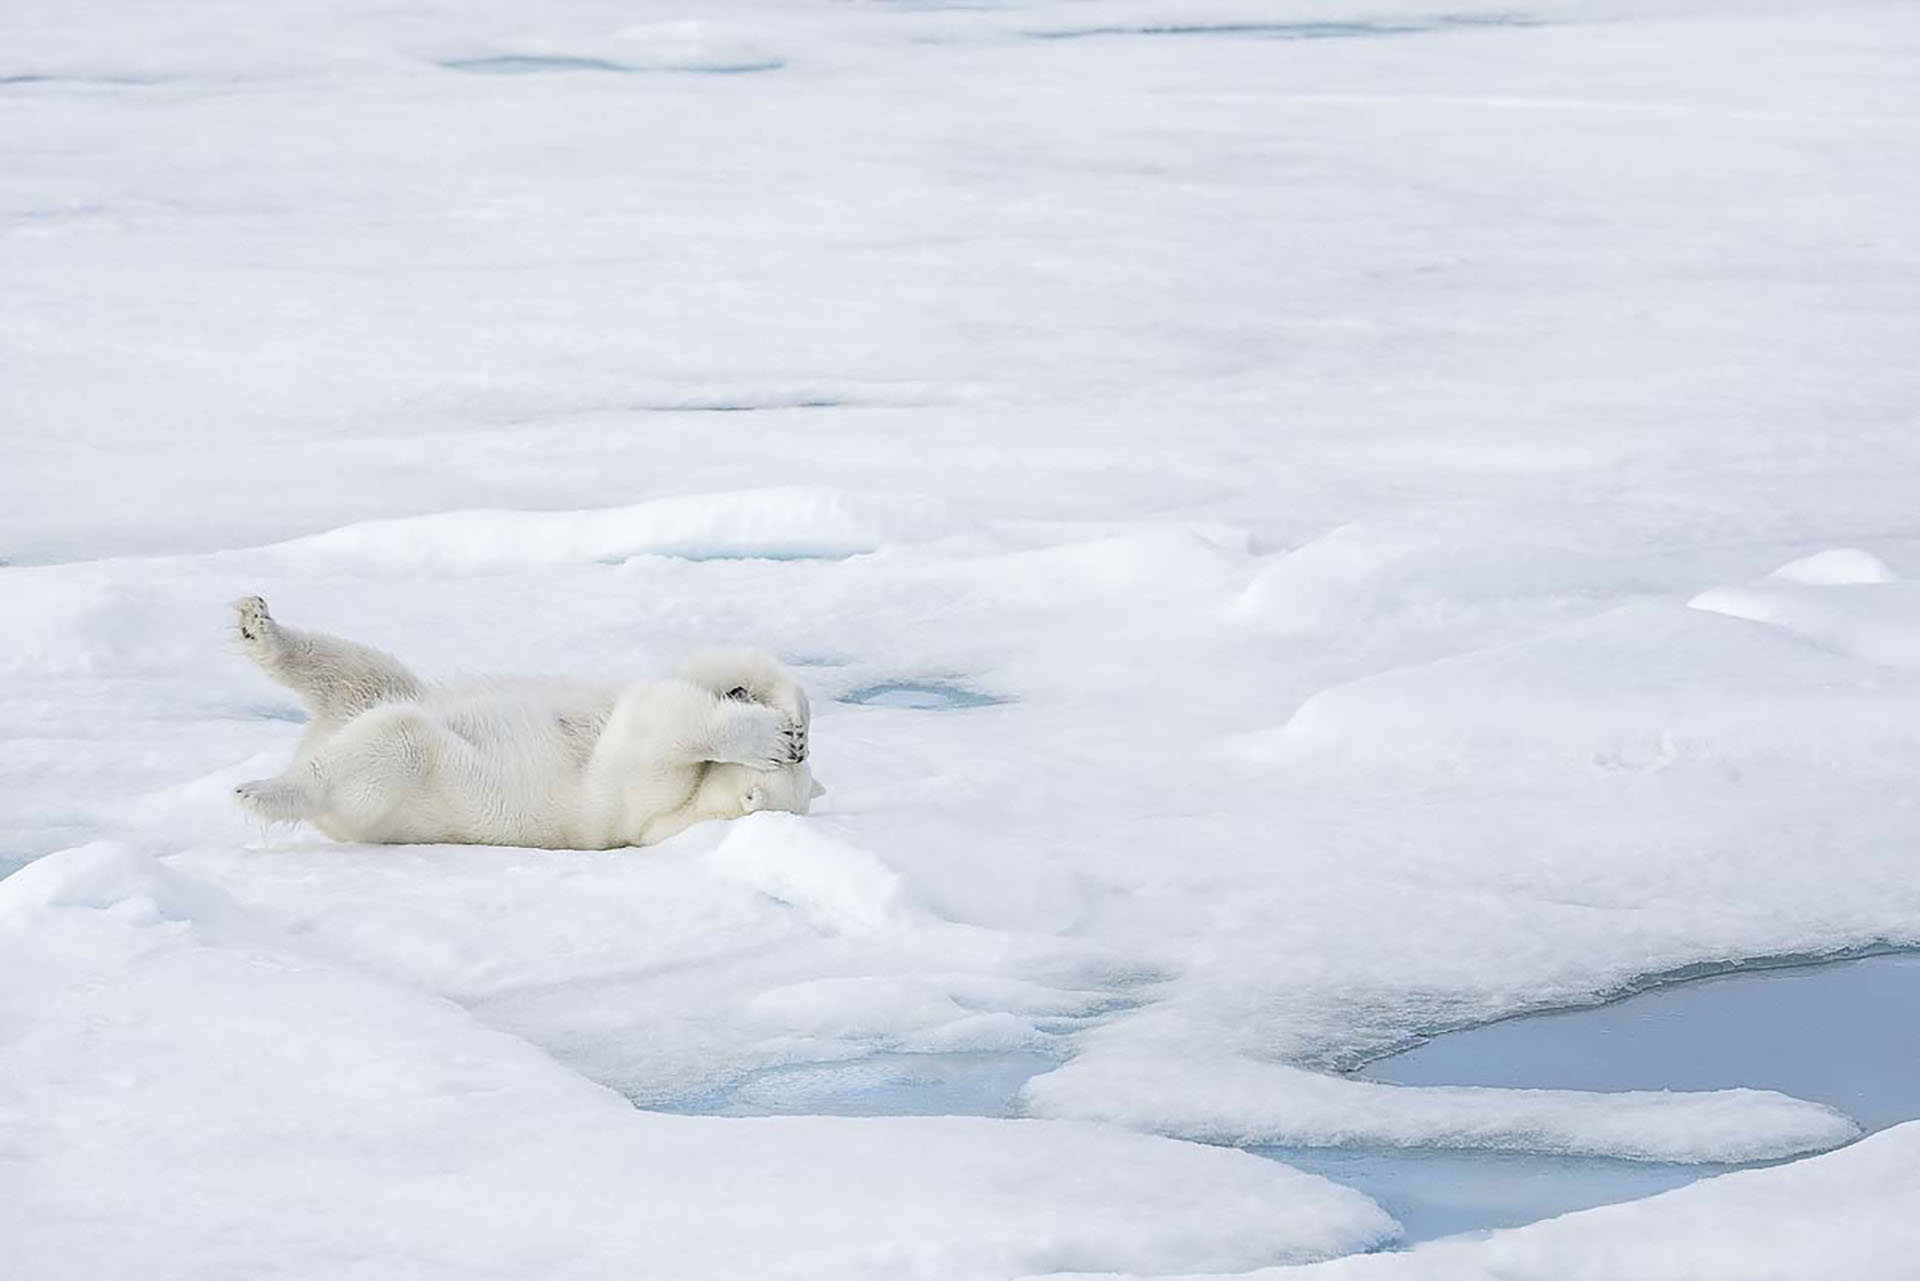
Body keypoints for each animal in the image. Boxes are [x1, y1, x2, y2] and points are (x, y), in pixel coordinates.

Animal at [228, 595, 821, 852]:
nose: (795, 747)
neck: (700, 807)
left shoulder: (644, 805)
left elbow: (654, 723)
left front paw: (767, 737)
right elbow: (694, 674)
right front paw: (787, 715)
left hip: (393, 788)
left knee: (390, 738)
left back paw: (261, 790)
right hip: (377, 692)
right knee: (362, 671)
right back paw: (257, 626)